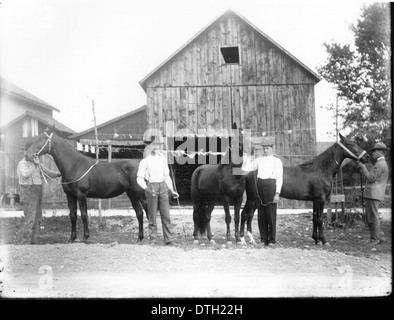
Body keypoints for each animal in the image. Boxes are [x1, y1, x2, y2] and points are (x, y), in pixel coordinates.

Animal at [240, 132, 370, 245]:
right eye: (351, 144)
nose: (367, 156)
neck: (321, 170)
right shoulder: (321, 199)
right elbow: (320, 219)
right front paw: (323, 240)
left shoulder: (314, 200)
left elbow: (314, 218)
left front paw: (316, 239)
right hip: (254, 199)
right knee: (247, 214)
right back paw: (244, 239)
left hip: (255, 199)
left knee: (246, 214)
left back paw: (247, 239)